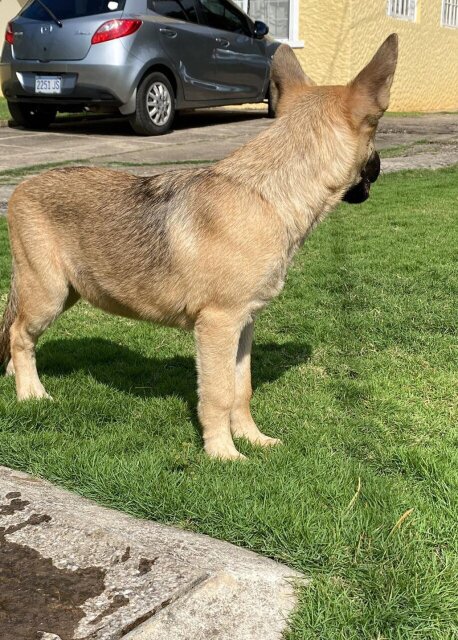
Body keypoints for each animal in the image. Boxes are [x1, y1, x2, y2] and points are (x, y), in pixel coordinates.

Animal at [0, 36, 398, 460]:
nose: (379, 169)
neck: (267, 196)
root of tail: (22, 186)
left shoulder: (244, 324)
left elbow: (242, 390)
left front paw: (251, 438)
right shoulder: (217, 325)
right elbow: (219, 394)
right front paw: (223, 453)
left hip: (67, 291)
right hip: (48, 294)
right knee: (20, 336)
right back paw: (31, 394)